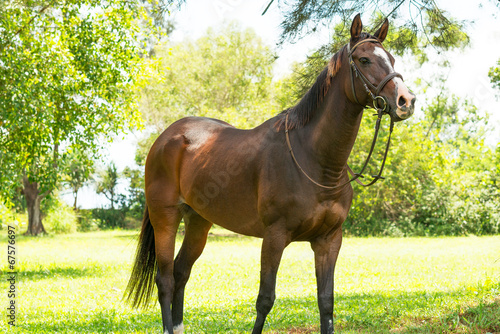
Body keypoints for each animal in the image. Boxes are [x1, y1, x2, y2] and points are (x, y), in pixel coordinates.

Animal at [124, 13, 414, 334]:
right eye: (364, 60)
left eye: (391, 58)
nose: (405, 101)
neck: (316, 161)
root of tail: (166, 137)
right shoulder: (274, 236)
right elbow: (265, 299)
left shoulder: (329, 240)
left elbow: (326, 302)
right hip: (165, 217)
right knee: (165, 279)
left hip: (199, 222)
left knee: (181, 273)